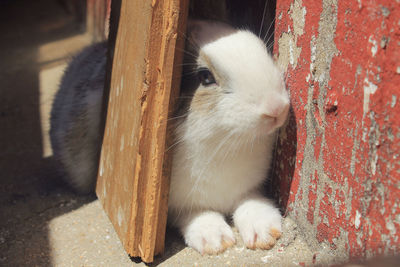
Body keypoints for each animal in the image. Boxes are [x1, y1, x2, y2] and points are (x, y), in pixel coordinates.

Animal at [50, 19, 290, 255]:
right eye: (205, 77)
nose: (277, 108)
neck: (223, 146)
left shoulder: (249, 188)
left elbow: (251, 202)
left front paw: (265, 231)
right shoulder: (176, 206)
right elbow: (197, 214)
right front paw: (215, 240)